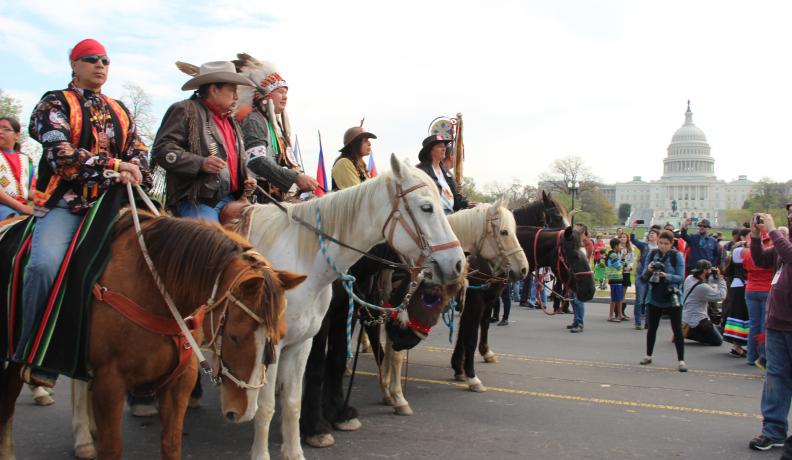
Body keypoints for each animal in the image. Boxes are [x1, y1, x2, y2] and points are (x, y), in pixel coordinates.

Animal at [0, 212, 304, 460]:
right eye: (235, 337)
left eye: (279, 336)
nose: (242, 412)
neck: (154, 291)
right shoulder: (110, 382)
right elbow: (112, 448)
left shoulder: (180, 381)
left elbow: (171, 445)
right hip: (16, 354)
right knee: (10, 401)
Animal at [246, 155, 464, 460]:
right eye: (426, 207)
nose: (456, 263)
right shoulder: (294, 335)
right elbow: (312, 372)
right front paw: (315, 428)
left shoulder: (334, 320)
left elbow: (330, 365)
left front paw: (337, 414)